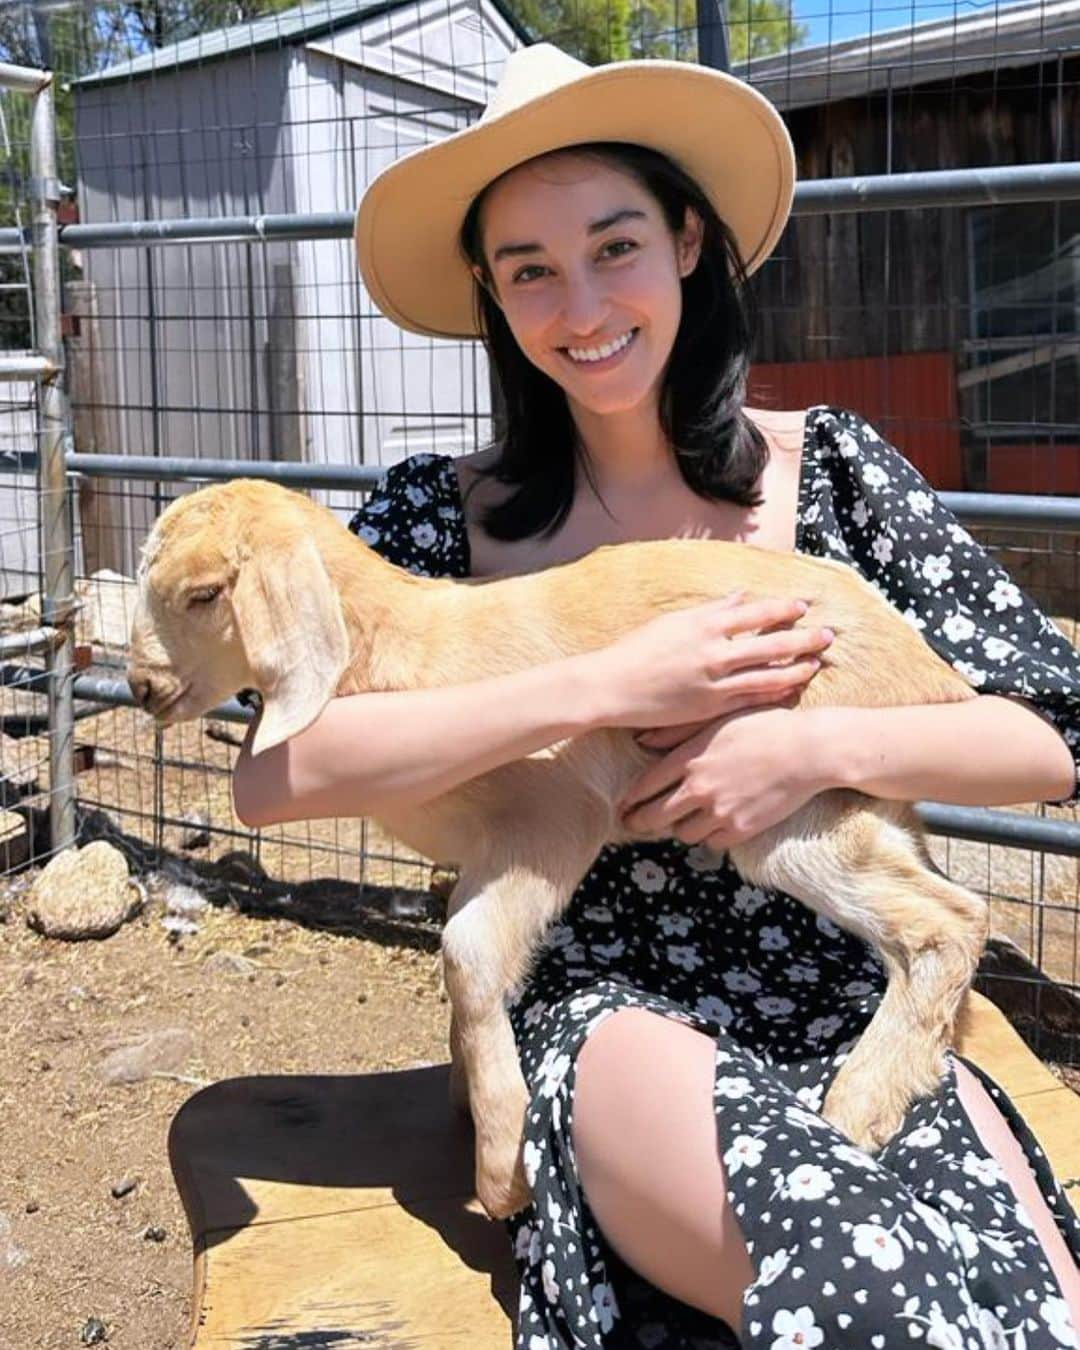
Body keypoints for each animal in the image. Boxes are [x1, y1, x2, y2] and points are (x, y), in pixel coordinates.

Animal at [126, 480, 988, 1220]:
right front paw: (465, 1093)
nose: (140, 689)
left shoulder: (550, 818)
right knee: (945, 898)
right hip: (863, 805)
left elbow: (468, 951)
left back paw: (859, 1105)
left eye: (204, 594)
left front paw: (501, 1167)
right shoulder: (476, 853)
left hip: (788, 801)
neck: (405, 646)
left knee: (949, 919)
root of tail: (930, 674)